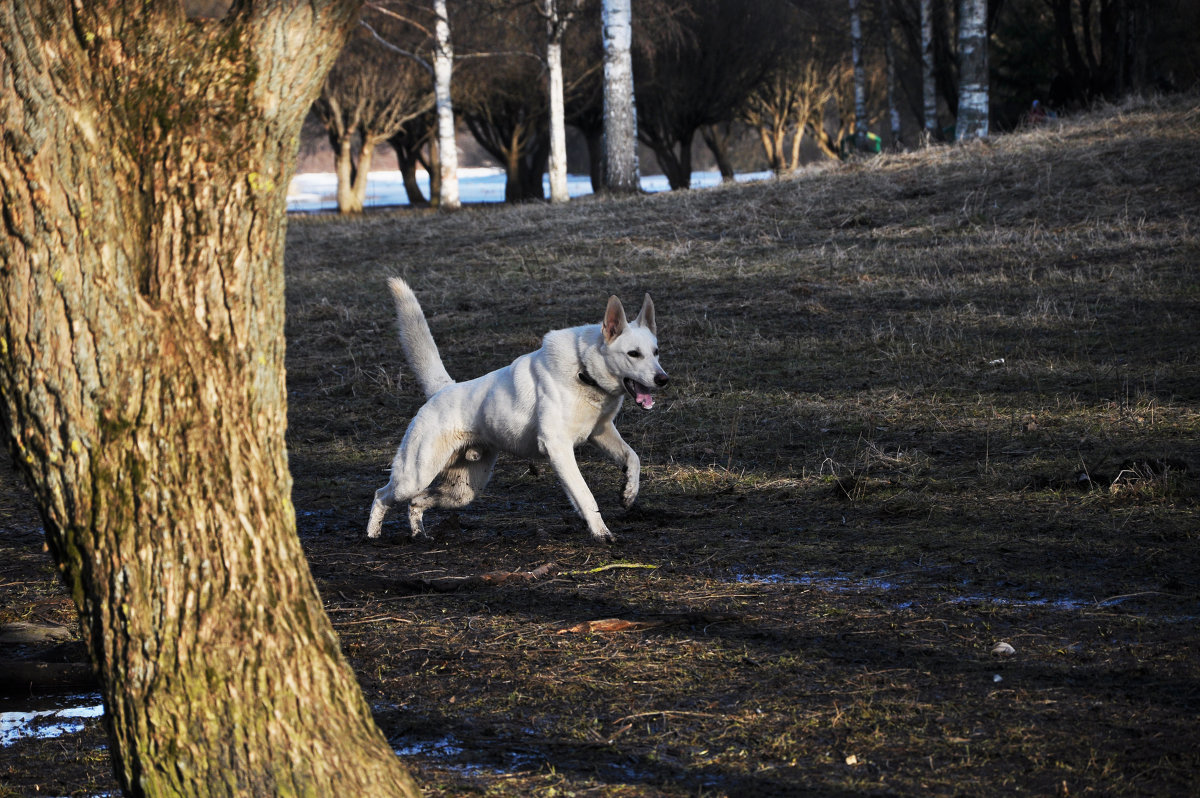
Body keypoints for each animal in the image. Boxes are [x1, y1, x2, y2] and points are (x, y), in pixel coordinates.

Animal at [364, 277, 667, 544]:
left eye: (656, 352)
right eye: (633, 354)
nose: (663, 379)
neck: (584, 371)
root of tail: (443, 388)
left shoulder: (600, 432)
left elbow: (632, 458)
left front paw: (628, 493)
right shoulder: (558, 447)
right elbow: (585, 494)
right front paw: (601, 533)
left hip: (463, 492)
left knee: (416, 503)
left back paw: (418, 535)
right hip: (415, 476)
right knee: (382, 494)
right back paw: (372, 535)